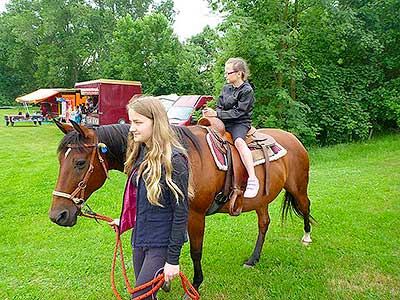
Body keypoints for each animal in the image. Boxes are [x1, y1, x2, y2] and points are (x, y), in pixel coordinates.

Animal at [48, 120, 314, 292]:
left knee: (306, 207)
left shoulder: (194, 215)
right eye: (60, 160)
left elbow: (195, 251)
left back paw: (306, 237)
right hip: (262, 199)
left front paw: (194, 285)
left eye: (80, 163)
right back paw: (253, 258)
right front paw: (164, 281)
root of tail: (293, 138)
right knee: (264, 223)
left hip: (298, 188)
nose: (58, 215)